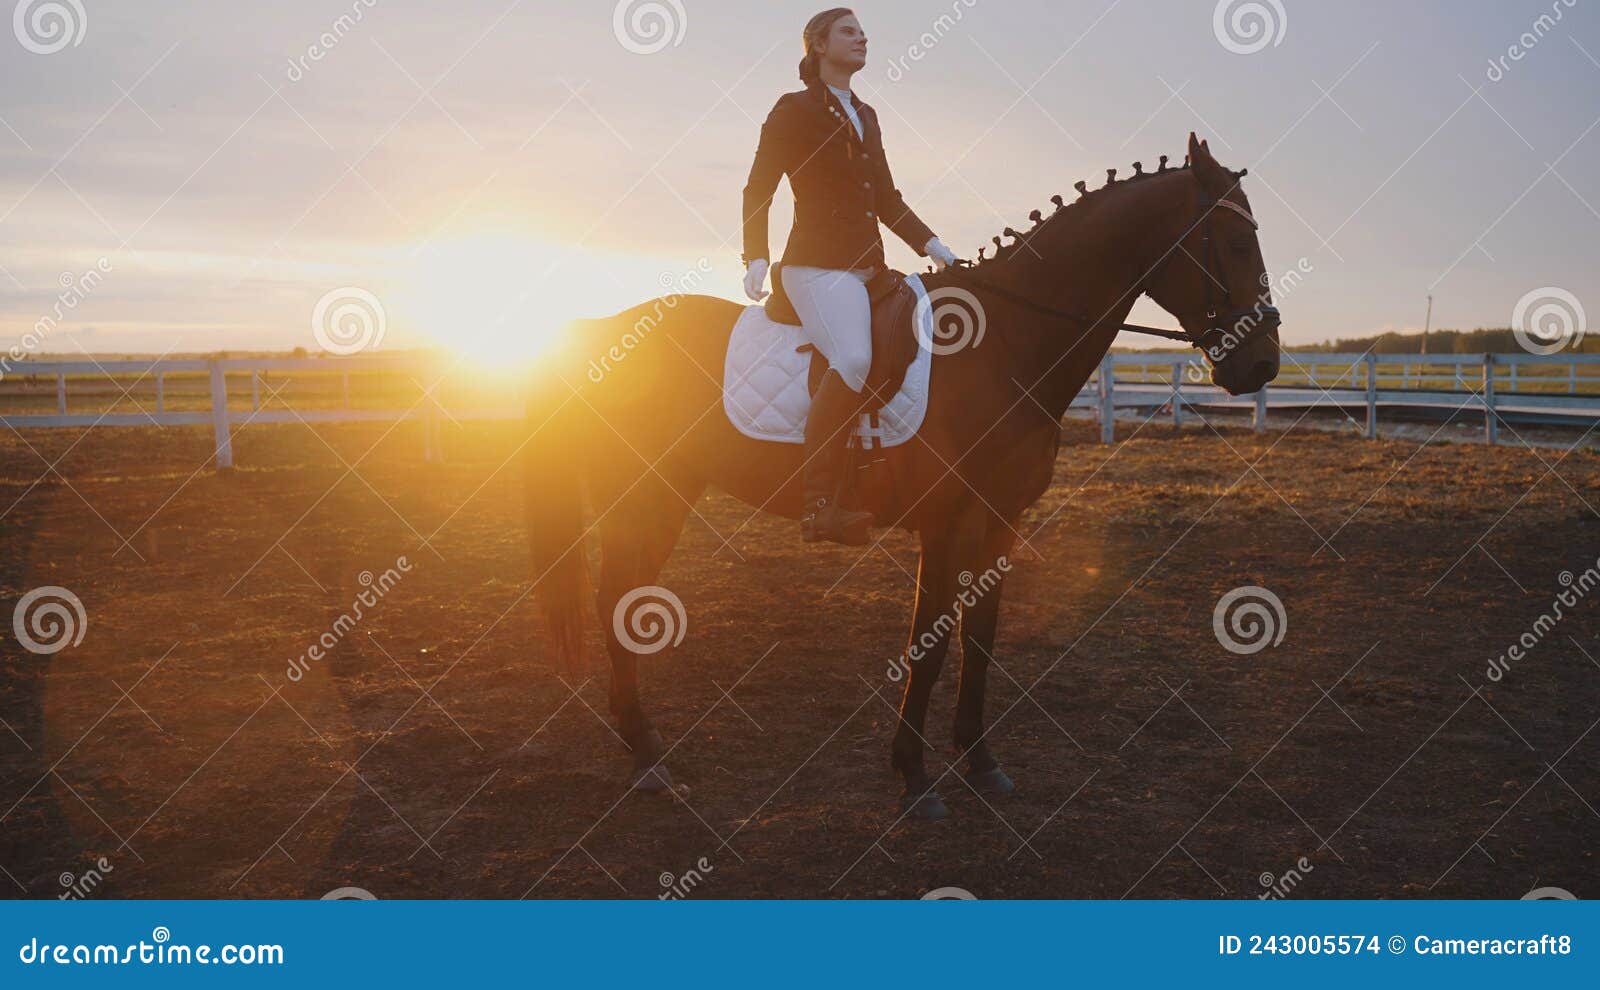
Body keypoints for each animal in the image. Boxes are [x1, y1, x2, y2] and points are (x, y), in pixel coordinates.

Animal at [531, 137, 1280, 818]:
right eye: (1238, 244)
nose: (1263, 364)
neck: (1004, 343)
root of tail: (606, 331)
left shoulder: (1001, 521)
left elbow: (980, 639)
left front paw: (980, 762)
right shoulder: (945, 525)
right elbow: (931, 643)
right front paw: (915, 778)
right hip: (645, 499)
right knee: (616, 603)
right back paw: (648, 758)